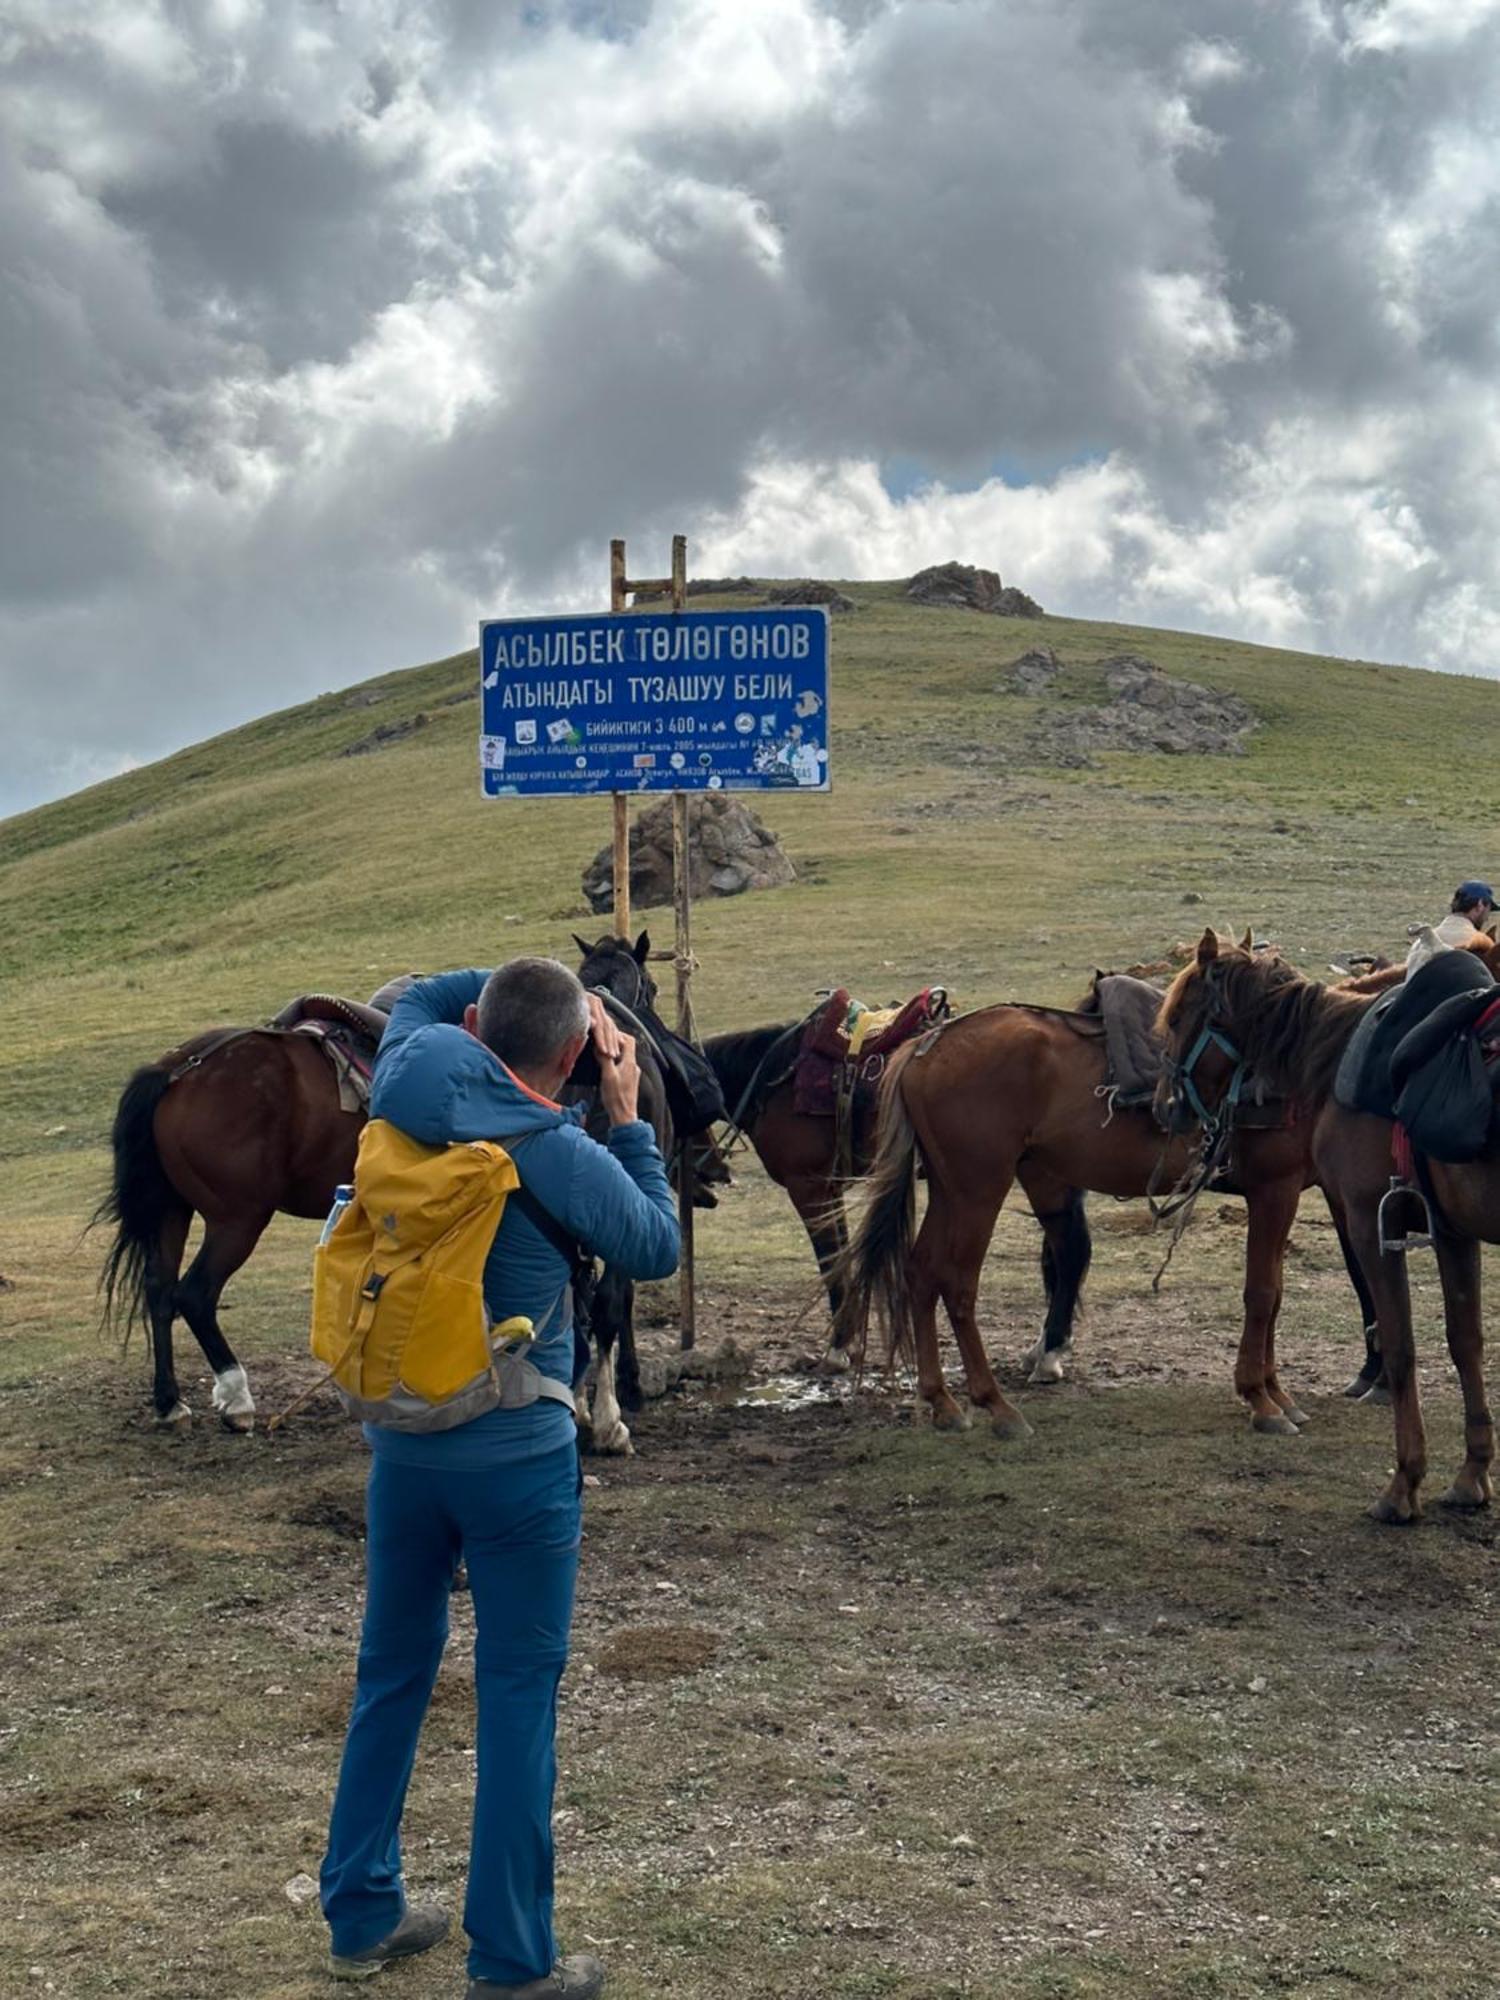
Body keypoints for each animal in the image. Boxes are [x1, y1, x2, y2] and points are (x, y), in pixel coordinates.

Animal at [836, 992, 1376, 1448]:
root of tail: (925, 1047)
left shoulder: (1285, 1194)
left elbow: (1275, 1295)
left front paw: (1277, 1393)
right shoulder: (1274, 1190)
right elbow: (1262, 1296)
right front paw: (1261, 1400)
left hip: (952, 1190)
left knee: (920, 1272)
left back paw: (942, 1402)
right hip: (978, 1190)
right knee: (957, 1282)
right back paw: (997, 1406)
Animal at [1160, 928, 1500, 1520]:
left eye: (1179, 1016)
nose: (1167, 1107)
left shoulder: (1371, 1221)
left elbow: (1403, 1345)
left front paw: (1403, 1484)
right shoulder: (1452, 1232)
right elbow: (1466, 1342)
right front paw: (1472, 1475)